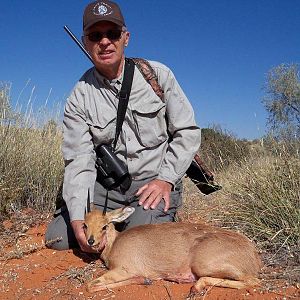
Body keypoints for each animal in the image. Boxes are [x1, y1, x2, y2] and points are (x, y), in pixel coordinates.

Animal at [84, 206, 262, 292]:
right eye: (85, 225)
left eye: (104, 226)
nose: (91, 241)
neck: (115, 243)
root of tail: (253, 255)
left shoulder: (123, 270)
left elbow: (90, 286)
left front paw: (145, 279)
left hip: (204, 266)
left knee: (252, 281)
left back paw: (196, 288)